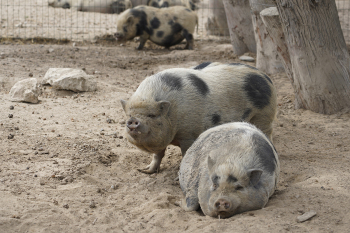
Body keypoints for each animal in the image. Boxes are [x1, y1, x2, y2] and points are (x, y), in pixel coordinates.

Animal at [120, 62, 276, 173]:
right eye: (129, 115)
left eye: (152, 115)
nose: (133, 121)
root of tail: (266, 77)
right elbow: (158, 155)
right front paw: (145, 171)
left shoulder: (189, 134)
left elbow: (185, 153)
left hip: (264, 115)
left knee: (266, 132)